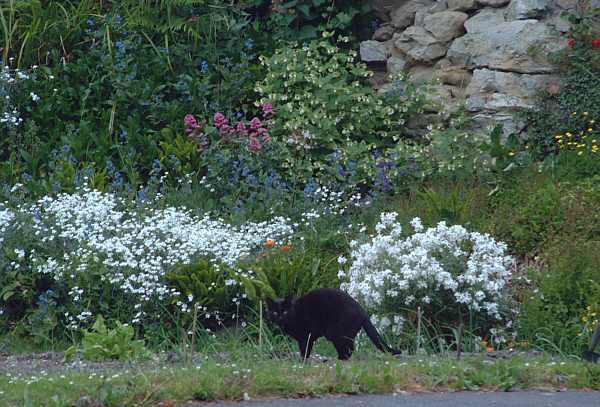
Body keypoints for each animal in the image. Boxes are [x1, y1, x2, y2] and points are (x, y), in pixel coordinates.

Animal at [266, 286, 398, 360]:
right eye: (274, 312)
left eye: (285, 311)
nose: (280, 318)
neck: (294, 314)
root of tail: (362, 311)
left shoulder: (306, 336)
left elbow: (305, 350)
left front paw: (302, 361)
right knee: (348, 348)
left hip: (335, 333)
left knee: (350, 348)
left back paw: (340, 360)